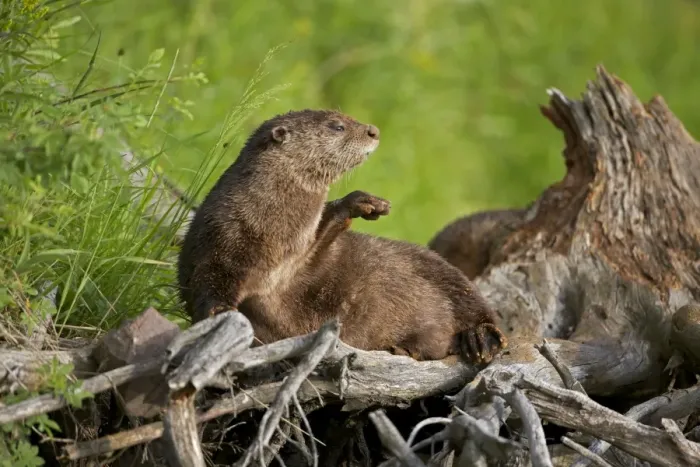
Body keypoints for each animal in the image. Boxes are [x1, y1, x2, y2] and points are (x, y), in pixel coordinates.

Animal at [177, 109, 507, 363]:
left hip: (441, 270)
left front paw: (363, 202)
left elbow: (325, 236)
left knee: (477, 307)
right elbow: (208, 288)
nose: (373, 131)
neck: (270, 231)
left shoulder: (302, 255)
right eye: (337, 125)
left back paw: (478, 338)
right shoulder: (218, 244)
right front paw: (223, 315)